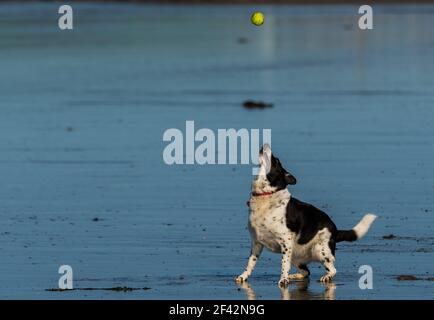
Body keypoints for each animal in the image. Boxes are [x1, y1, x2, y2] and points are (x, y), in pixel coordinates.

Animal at [234, 145, 376, 288]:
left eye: (276, 160)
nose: (265, 145)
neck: (266, 195)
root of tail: (335, 231)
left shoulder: (285, 242)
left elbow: (284, 264)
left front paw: (283, 279)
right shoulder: (256, 243)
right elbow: (250, 263)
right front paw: (243, 276)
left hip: (320, 250)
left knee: (332, 269)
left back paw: (325, 277)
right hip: (296, 254)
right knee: (305, 272)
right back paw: (293, 276)